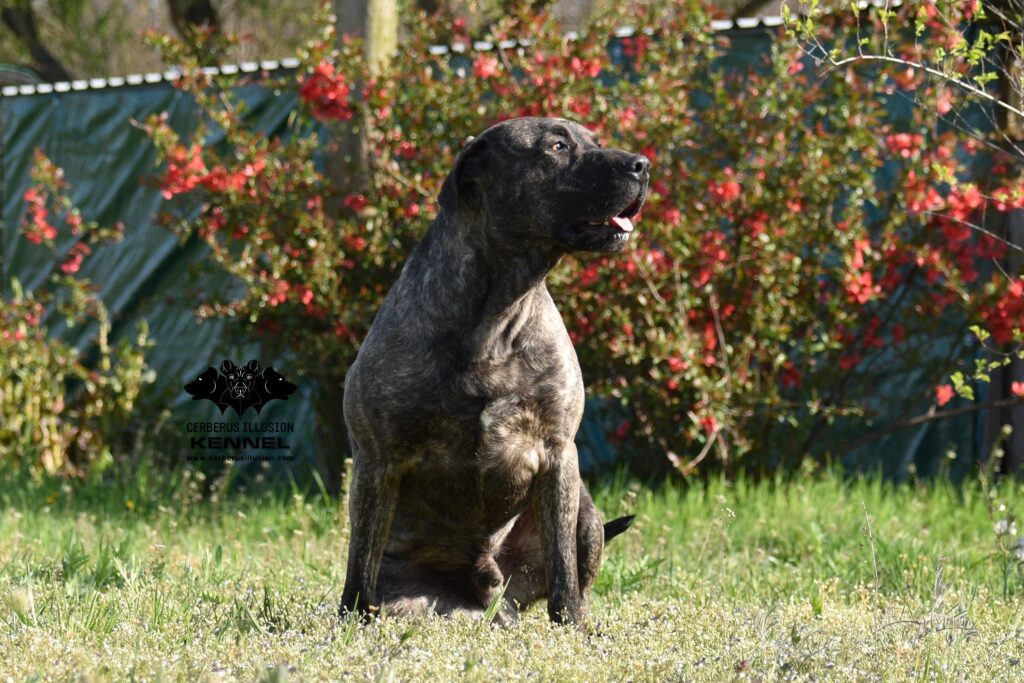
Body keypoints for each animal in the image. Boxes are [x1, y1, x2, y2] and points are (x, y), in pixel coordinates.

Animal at [342, 116, 647, 626]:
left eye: (596, 141)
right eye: (557, 146)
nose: (642, 164)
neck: (498, 310)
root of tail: (487, 594)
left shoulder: (558, 454)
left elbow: (563, 568)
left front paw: (574, 629)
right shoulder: (376, 460)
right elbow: (359, 563)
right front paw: (349, 625)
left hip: (584, 512)